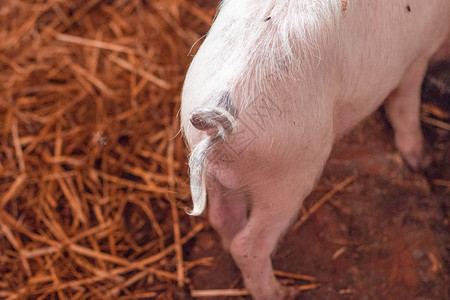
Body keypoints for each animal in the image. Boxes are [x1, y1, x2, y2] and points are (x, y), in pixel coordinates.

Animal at [180, 1, 450, 298]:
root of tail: (218, 116)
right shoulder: (415, 58)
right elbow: (405, 107)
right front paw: (422, 160)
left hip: (219, 174)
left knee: (223, 218)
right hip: (287, 177)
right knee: (248, 245)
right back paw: (284, 292)